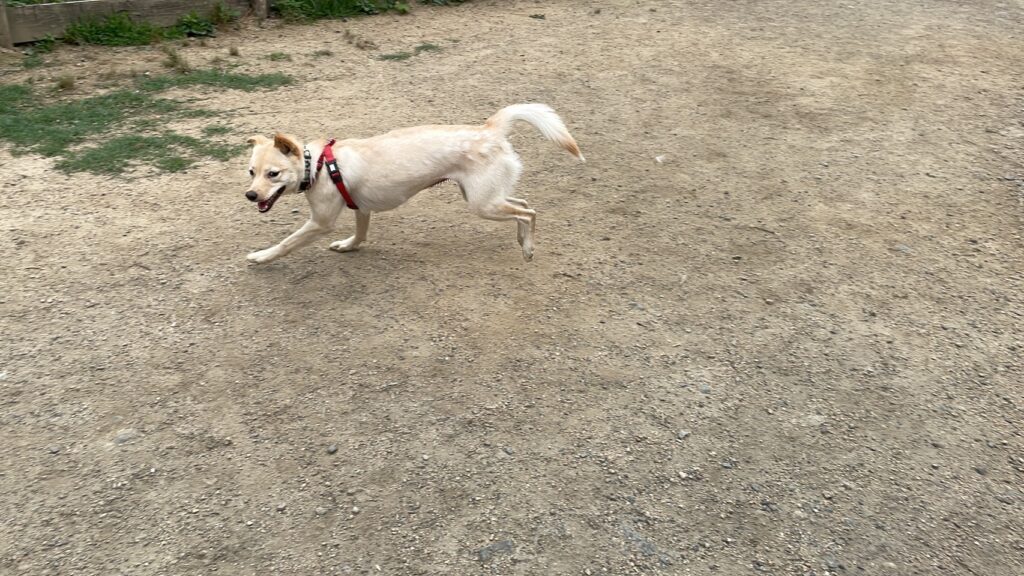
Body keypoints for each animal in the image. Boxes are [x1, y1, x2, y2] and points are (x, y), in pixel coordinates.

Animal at [243, 103, 584, 264]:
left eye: (273, 174)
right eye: (251, 172)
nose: (250, 195)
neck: (317, 165)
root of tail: (490, 129)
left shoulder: (321, 222)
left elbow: (286, 243)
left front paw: (261, 256)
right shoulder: (360, 208)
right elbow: (360, 234)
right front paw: (348, 246)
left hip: (482, 204)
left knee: (529, 212)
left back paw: (527, 248)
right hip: (485, 197)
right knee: (523, 206)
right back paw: (522, 241)